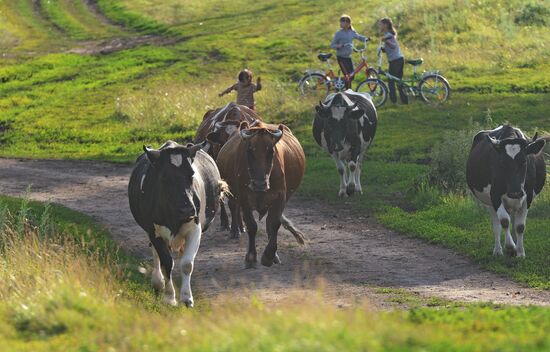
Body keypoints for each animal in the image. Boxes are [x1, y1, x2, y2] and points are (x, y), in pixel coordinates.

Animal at [128, 142, 225, 306]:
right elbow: (166, 263)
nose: (187, 209)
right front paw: (169, 297)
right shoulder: (153, 231)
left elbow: (187, 263)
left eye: (191, 174)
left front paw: (186, 297)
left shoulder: (195, 228)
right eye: (164, 177)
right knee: (155, 254)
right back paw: (158, 282)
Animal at [211, 119, 306, 266]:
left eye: (271, 151)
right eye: (249, 151)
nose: (259, 184)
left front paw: (269, 255)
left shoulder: (280, 197)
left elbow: (273, 224)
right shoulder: (244, 198)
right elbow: (251, 225)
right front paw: (251, 256)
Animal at [468, 125, 548, 258]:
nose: (515, 192)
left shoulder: (528, 196)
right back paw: (498, 250)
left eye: (524, 161)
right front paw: (511, 247)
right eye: (502, 162)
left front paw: (520, 252)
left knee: (514, 221)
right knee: (496, 224)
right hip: (489, 202)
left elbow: (520, 226)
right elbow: (504, 221)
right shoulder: (494, 195)